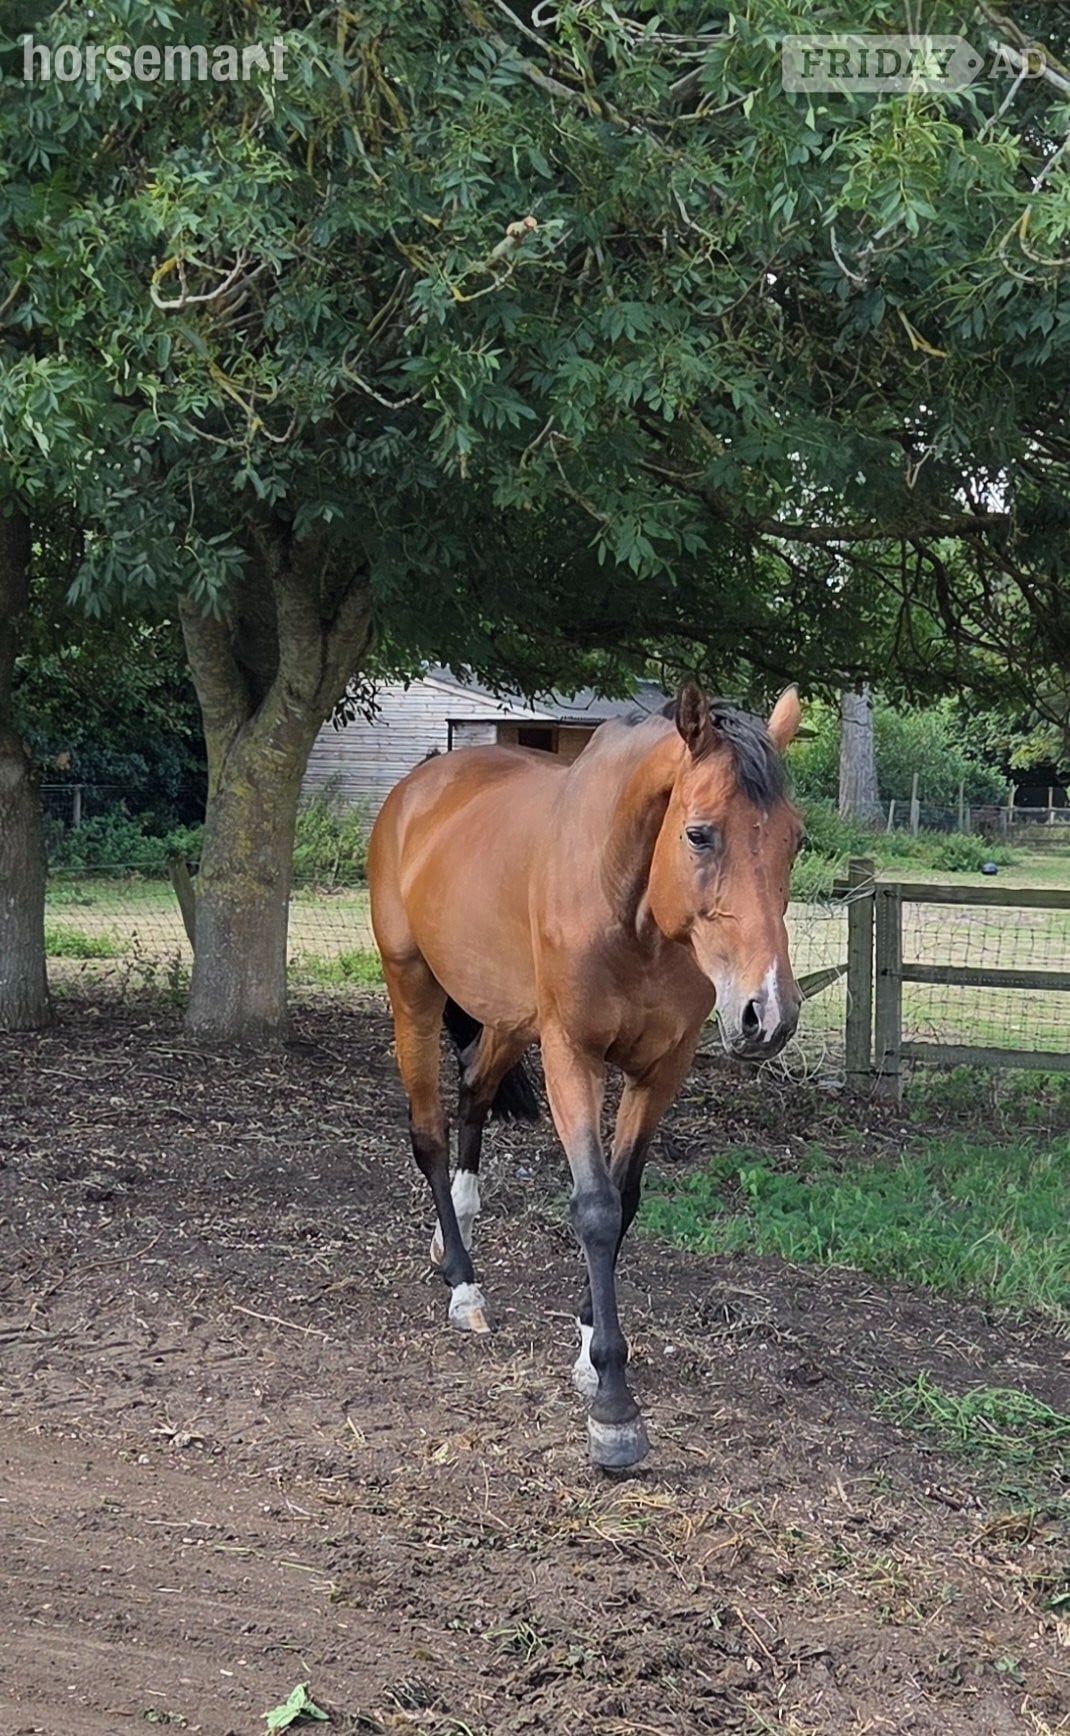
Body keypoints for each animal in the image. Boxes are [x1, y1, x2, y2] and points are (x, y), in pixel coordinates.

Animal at [368, 683, 803, 1468]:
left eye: (797, 840)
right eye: (699, 834)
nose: (770, 1014)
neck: (630, 908)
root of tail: (419, 787)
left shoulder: (661, 1069)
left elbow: (624, 1202)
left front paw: (586, 1346)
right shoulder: (573, 1055)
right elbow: (596, 1207)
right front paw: (614, 1407)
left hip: (510, 1016)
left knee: (474, 1090)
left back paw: (456, 1235)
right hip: (412, 990)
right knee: (429, 1133)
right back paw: (463, 1287)